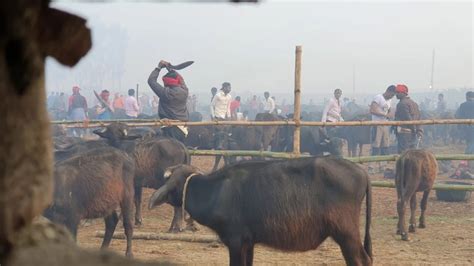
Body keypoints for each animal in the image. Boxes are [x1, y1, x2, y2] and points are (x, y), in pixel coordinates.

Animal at [150, 157, 372, 264]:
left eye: (170, 180)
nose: (154, 198)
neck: (218, 191)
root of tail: (362, 172)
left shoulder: (235, 242)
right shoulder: (249, 244)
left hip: (346, 233)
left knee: (360, 260)